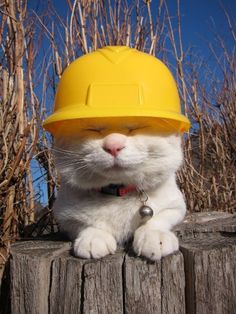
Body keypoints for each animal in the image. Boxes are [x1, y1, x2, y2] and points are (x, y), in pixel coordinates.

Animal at [52, 121, 185, 262]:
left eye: (135, 128)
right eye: (93, 130)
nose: (113, 146)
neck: (118, 194)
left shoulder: (176, 207)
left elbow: (157, 219)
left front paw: (154, 235)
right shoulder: (65, 219)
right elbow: (86, 223)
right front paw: (95, 236)